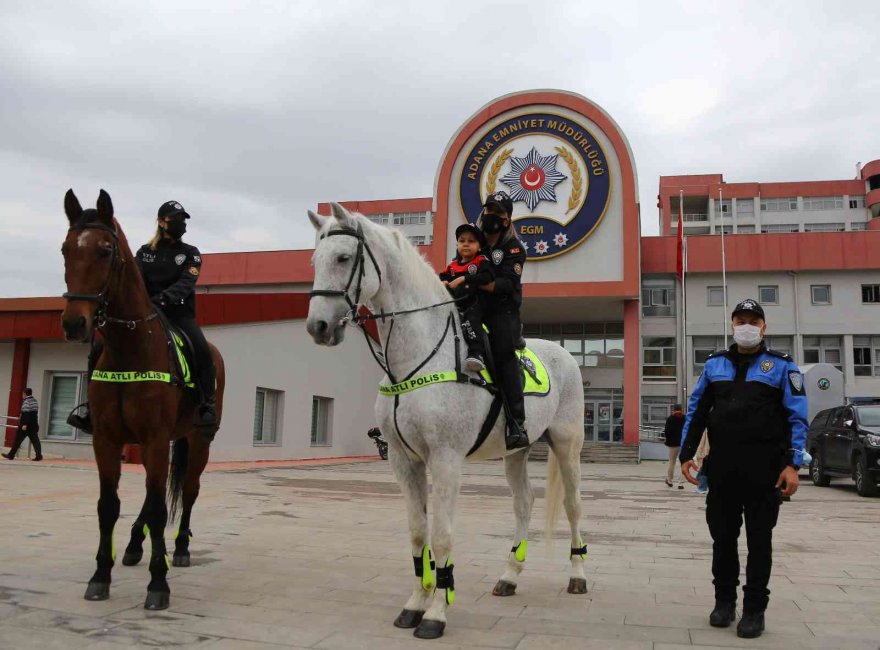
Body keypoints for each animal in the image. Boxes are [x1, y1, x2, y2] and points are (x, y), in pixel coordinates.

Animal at [60, 187, 225, 608]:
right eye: (66, 249)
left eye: (105, 251)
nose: (74, 323)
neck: (130, 351)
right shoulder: (106, 440)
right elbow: (109, 507)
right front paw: (100, 575)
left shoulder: (153, 440)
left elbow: (158, 509)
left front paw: (158, 583)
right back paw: (135, 545)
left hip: (198, 441)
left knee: (187, 492)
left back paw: (179, 549)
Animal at [306, 204, 588, 636]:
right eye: (314, 261)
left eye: (342, 257)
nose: (317, 327)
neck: (418, 355)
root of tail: (565, 355)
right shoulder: (404, 461)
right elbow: (417, 533)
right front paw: (414, 604)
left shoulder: (445, 459)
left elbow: (441, 537)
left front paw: (437, 613)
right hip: (516, 452)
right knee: (523, 504)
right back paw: (509, 576)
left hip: (566, 444)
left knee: (573, 505)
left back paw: (577, 575)